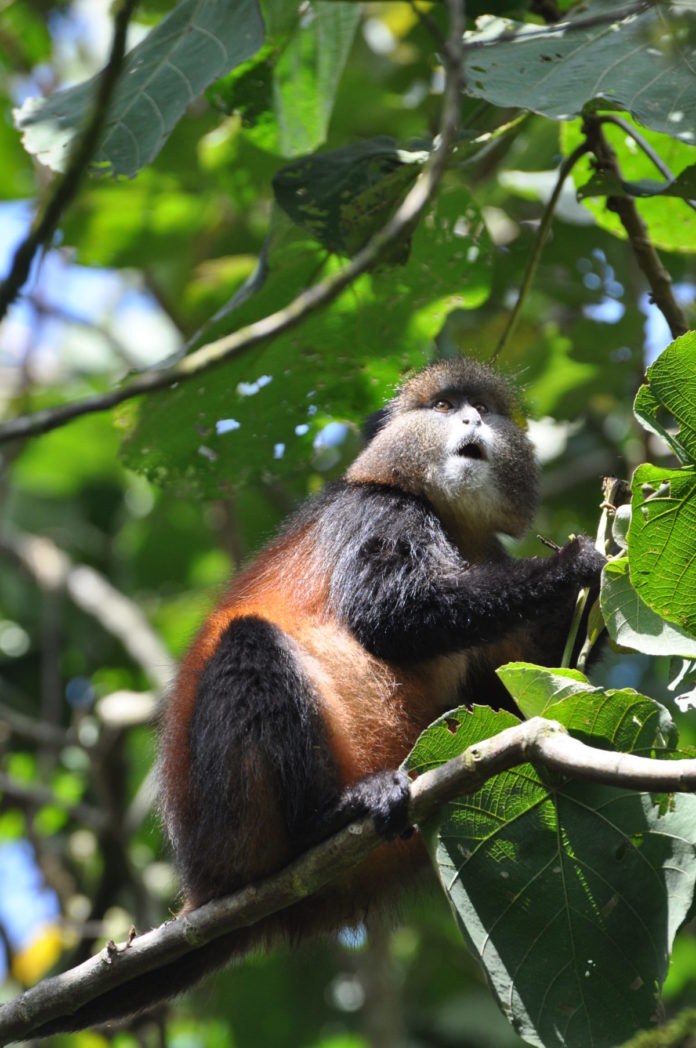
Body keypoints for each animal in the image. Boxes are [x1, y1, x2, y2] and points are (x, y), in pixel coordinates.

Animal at [31, 357, 605, 1037]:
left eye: (483, 410)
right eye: (442, 408)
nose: (470, 421)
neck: (450, 519)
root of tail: (208, 884)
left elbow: (501, 695)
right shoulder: (380, 512)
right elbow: (394, 616)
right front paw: (572, 567)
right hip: (234, 815)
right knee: (248, 644)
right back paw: (327, 818)